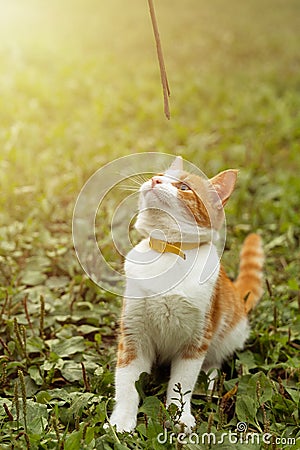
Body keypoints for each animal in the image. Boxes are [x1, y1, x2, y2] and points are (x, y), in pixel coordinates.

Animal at [108, 156, 262, 432]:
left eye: (184, 187)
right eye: (159, 175)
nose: (155, 180)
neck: (168, 250)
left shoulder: (197, 338)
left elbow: (184, 382)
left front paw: (179, 416)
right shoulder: (134, 335)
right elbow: (126, 383)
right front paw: (122, 421)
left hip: (230, 332)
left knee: (214, 362)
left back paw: (209, 380)